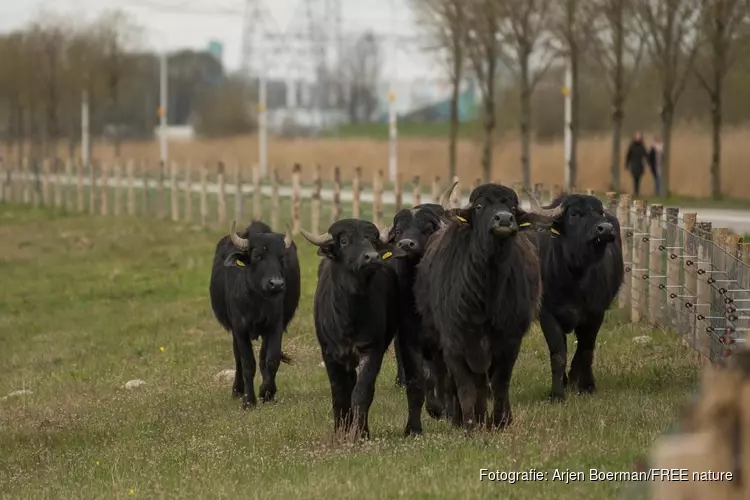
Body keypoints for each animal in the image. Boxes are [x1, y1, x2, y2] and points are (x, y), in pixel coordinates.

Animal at [209, 221, 302, 408]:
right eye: (258, 256)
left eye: (281, 257)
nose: (277, 284)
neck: (256, 301)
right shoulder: (239, 328)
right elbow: (247, 363)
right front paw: (248, 400)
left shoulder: (275, 326)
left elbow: (271, 359)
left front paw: (266, 392)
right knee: (238, 357)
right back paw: (237, 390)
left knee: (262, 357)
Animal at [300, 219, 408, 438]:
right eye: (344, 240)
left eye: (373, 240)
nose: (372, 257)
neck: (349, 316)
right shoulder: (330, 353)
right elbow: (340, 393)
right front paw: (340, 431)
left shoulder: (372, 351)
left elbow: (362, 391)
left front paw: (359, 433)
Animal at [418, 184, 548, 430]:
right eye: (479, 206)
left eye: (512, 207)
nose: (504, 220)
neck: (486, 297)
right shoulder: (454, 344)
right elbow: (464, 387)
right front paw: (469, 424)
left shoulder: (509, 342)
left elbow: (499, 384)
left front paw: (499, 421)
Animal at [524, 192, 624, 402]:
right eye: (575, 213)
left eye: (599, 211)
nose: (605, 229)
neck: (574, 278)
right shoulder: (547, 314)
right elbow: (558, 352)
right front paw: (557, 393)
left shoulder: (595, 314)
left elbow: (586, 349)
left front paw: (586, 385)